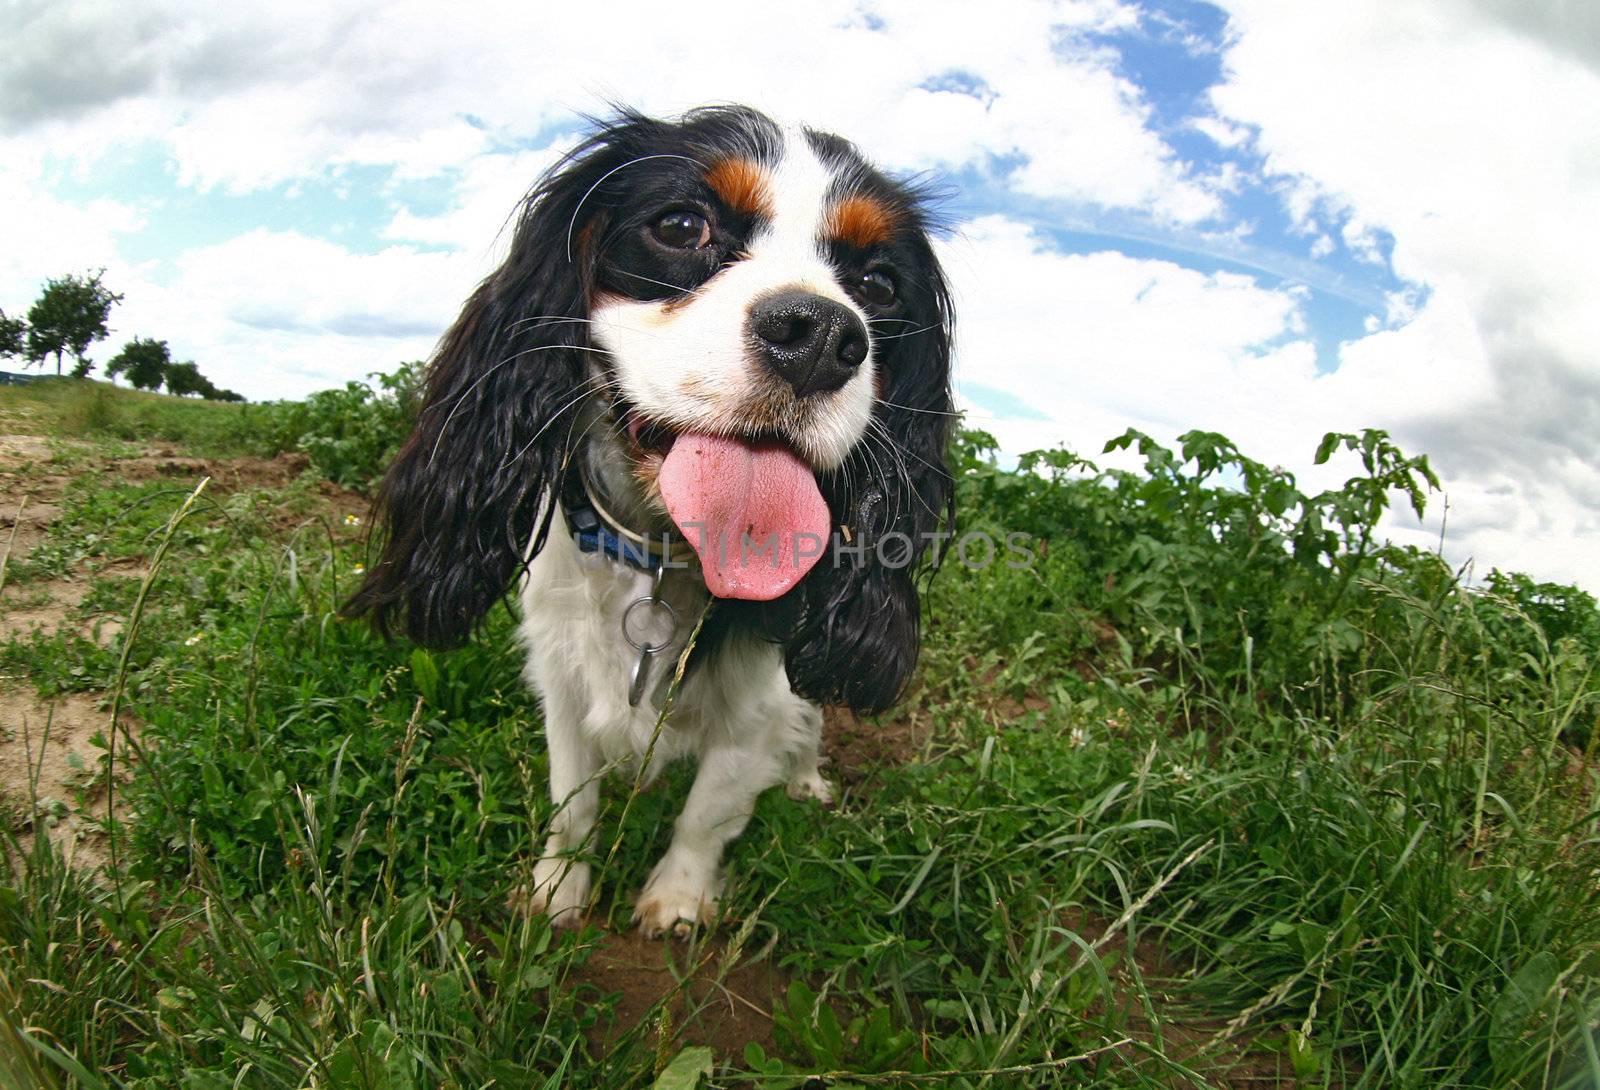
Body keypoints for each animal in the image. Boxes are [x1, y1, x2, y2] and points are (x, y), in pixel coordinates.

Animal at [345, 108, 953, 934]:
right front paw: (559, 888)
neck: (664, 550)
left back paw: (804, 782)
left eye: (878, 283)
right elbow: (572, 797)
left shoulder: (758, 701)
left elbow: (711, 805)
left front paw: (678, 899)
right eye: (681, 225)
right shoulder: (561, 673)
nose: (825, 337)